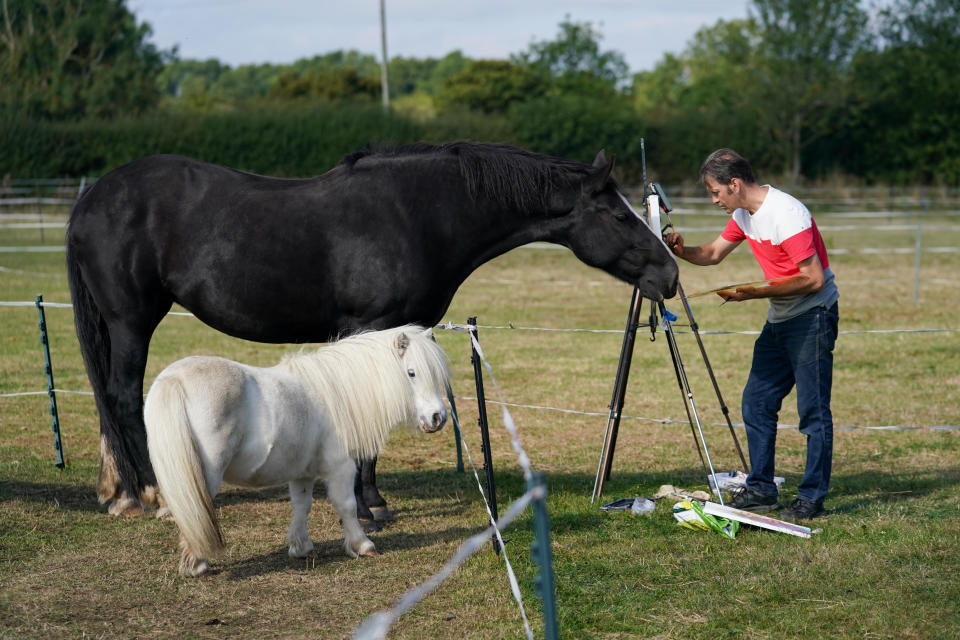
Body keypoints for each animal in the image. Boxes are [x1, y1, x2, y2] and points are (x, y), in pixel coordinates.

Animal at [63, 140, 680, 524]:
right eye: (619, 215)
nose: (670, 275)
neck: (418, 215)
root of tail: (92, 197)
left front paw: (372, 501)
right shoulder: (369, 328)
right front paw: (370, 506)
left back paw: (118, 493)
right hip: (132, 320)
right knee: (122, 396)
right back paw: (151, 494)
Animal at [143, 324, 450, 576]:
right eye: (411, 373)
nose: (438, 417)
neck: (336, 393)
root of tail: (174, 379)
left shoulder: (302, 471)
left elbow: (302, 505)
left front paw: (301, 547)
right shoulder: (341, 467)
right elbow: (347, 505)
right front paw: (362, 545)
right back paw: (197, 563)